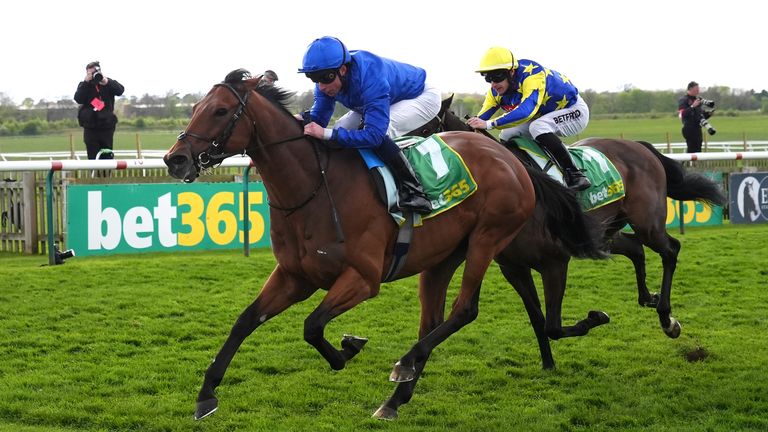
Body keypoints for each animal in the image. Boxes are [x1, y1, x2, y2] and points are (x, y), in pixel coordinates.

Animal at [164, 72, 608, 420]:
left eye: (221, 111)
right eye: (195, 107)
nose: (175, 159)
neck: (313, 188)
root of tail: (510, 159)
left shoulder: (363, 278)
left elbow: (312, 326)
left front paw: (347, 348)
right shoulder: (294, 276)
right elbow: (245, 321)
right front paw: (206, 396)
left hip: (489, 238)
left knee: (465, 310)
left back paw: (404, 365)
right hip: (443, 256)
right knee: (433, 321)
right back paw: (396, 398)